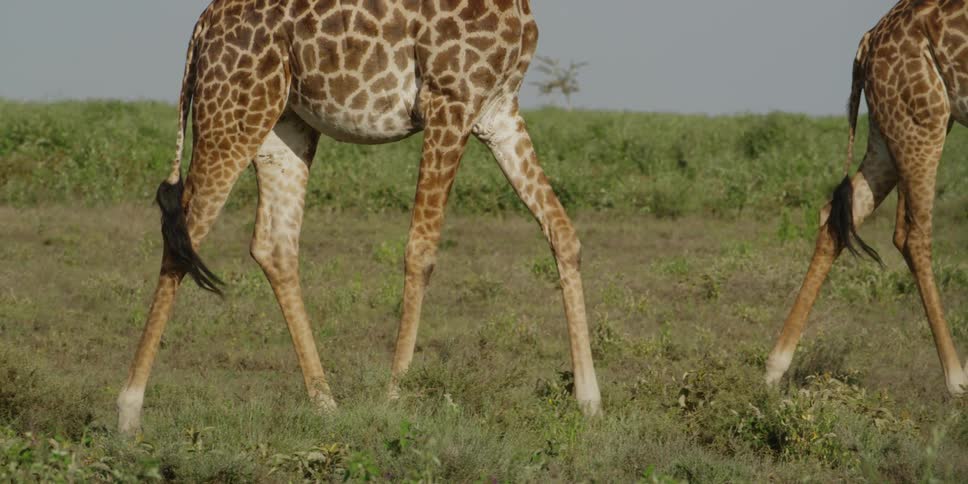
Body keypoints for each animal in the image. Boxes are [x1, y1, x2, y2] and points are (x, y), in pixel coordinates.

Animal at [116, 0, 602, 435]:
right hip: (232, 110)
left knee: (273, 245)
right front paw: (395, 398)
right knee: (185, 237)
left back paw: (326, 404)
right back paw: (129, 411)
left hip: (284, 124)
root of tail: (201, 29)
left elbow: (564, 234)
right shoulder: (450, 100)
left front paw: (590, 402)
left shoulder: (498, 111)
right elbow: (421, 251)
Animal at [765, 0, 968, 396]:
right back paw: (957, 381)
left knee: (837, 215)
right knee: (914, 235)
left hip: (890, 125)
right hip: (922, 119)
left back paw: (774, 368)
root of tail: (869, 39)